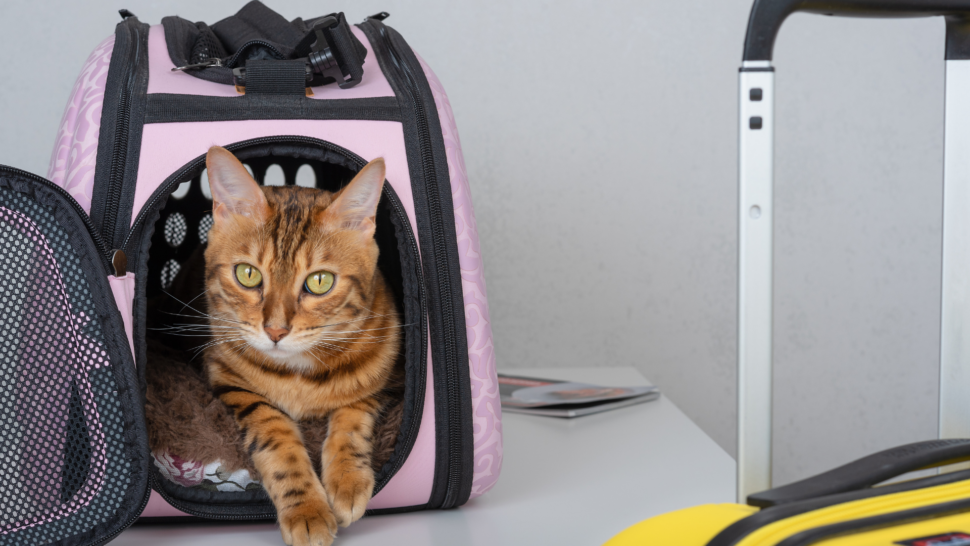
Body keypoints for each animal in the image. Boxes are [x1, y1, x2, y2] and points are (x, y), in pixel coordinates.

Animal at [202, 146, 398, 544]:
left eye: (320, 281)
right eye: (248, 274)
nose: (275, 330)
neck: (299, 373)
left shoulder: (384, 377)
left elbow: (352, 414)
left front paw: (347, 480)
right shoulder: (229, 379)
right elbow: (275, 435)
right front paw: (307, 509)